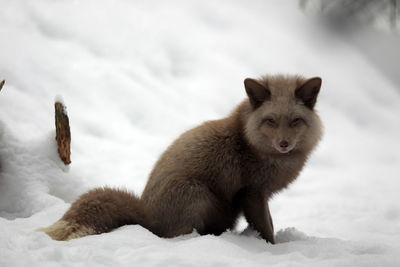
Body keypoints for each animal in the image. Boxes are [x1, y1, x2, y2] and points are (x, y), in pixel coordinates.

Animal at [39, 74, 324, 245]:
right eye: (271, 121)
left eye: (295, 121)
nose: (284, 144)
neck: (250, 144)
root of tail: (147, 215)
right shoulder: (252, 193)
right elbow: (267, 228)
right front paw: (272, 250)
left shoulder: (255, 195)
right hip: (197, 193)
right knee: (175, 236)